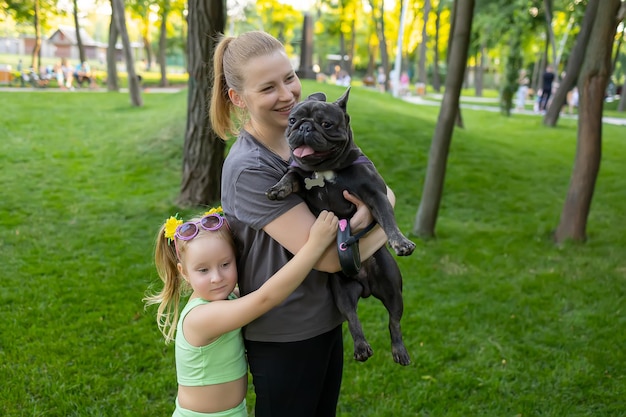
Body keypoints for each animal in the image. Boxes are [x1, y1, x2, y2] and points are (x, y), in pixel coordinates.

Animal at [264, 88, 414, 364]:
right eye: (293, 120)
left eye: (326, 124)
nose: (304, 127)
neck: (325, 168)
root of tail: (366, 286)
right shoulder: (299, 174)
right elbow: (290, 175)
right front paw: (278, 188)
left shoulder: (376, 194)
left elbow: (387, 219)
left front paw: (400, 242)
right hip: (341, 293)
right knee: (352, 318)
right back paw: (361, 348)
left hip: (392, 287)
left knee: (394, 321)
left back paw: (399, 350)